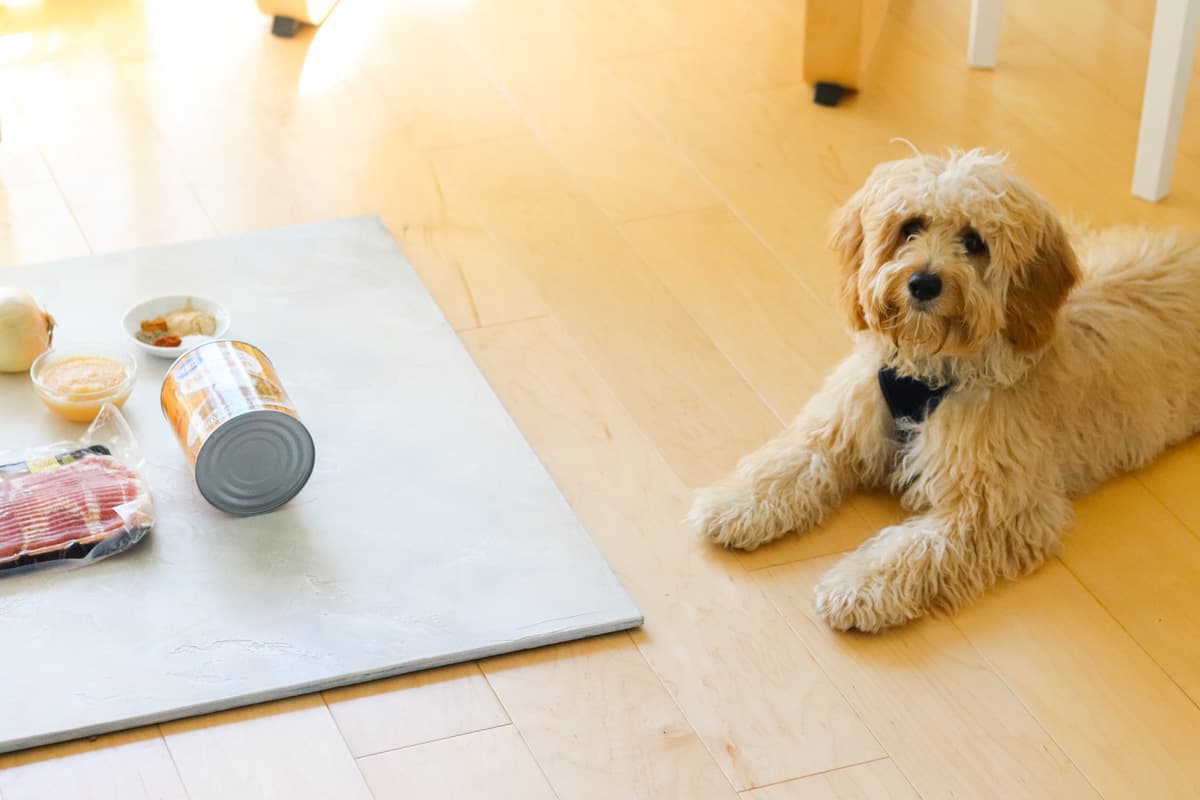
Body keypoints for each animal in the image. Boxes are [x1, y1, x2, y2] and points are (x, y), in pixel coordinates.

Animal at [691, 148, 1200, 633]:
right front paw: (736, 504)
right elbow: (795, 459)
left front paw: (859, 586)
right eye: (910, 227)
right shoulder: (848, 419)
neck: (928, 371)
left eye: (974, 241)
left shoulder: (991, 507)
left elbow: (916, 547)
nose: (923, 282)